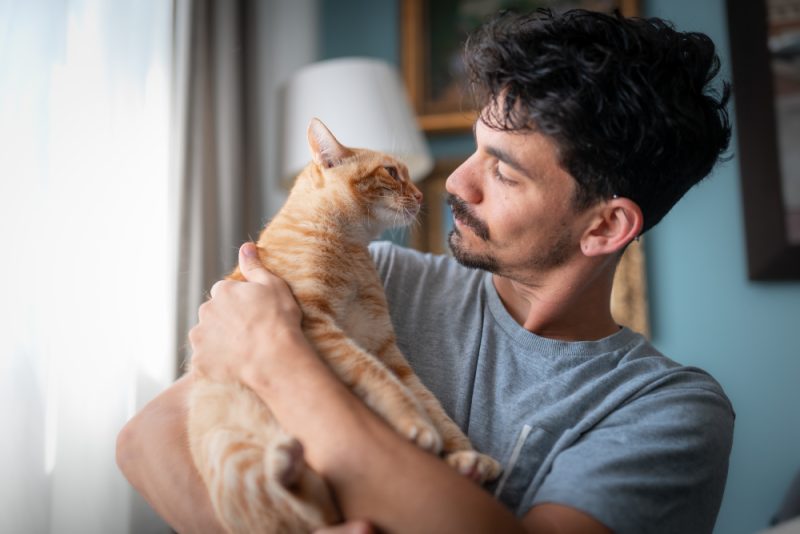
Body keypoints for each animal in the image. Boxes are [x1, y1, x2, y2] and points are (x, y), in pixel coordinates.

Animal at [188, 119, 500, 532]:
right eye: (392, 172)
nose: (420, 194)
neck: (350, 249)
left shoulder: (382, 341)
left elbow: (428, 400)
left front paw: (465, 454)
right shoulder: (319, 325)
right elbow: (380, 379)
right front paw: (415, 425)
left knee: (321, 511)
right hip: (233, 457)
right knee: (298, 512)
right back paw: (285, 462)